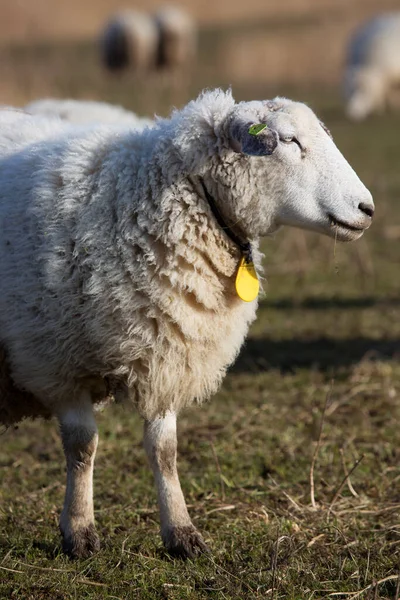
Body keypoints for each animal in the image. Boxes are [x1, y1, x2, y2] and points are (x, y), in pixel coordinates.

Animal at [0, 88, 376, 556]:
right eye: (289, 140)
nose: (367, 208)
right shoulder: (56, 359)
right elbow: (82, 447)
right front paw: (80, 530)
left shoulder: (168, 352)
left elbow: (165, 450)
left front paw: (181, 532)